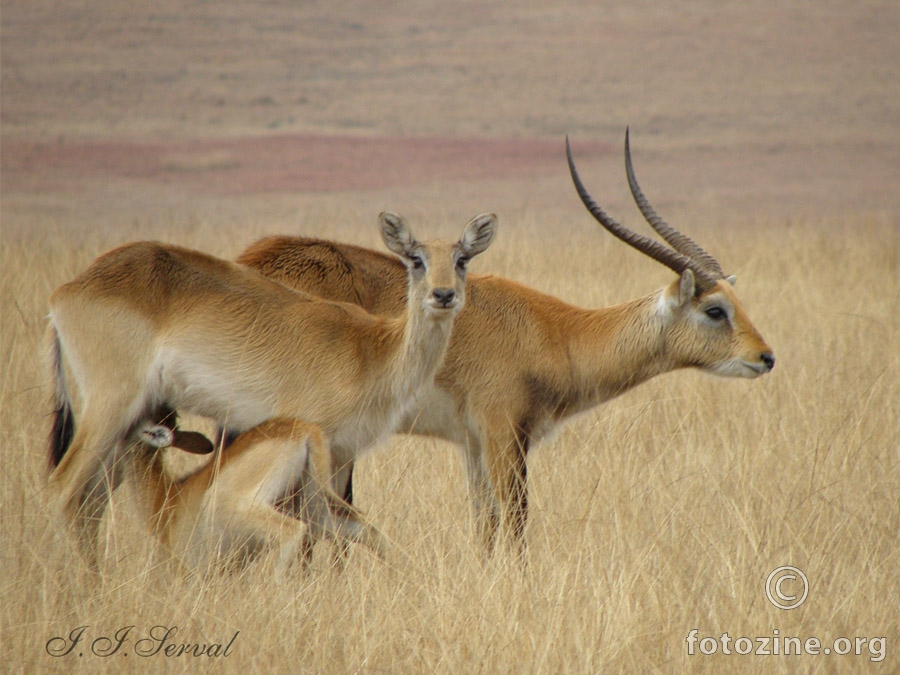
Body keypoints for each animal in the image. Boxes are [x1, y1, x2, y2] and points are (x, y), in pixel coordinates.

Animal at [232, 129, 772, 556]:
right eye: (715, 309)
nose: (765, 357)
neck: (558, 333)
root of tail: (252, 261)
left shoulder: (473, 442)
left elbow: (485, 524)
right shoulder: (503, 434)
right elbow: (514, 521)